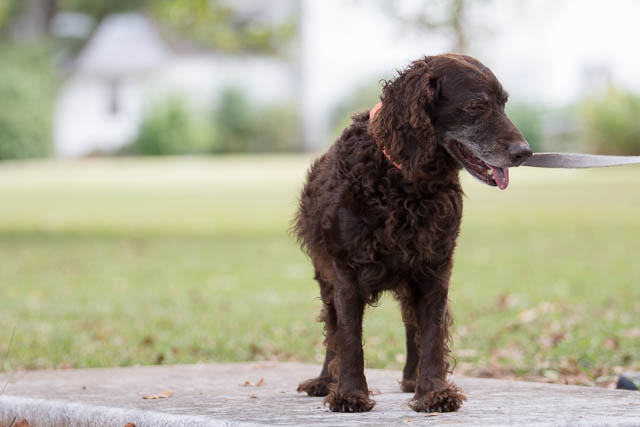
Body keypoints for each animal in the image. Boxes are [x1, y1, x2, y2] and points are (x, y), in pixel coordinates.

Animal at [294, 54, 528, 414]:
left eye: (504, 104)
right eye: (476, 106)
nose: (524, 152)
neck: (404, 180)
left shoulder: (434, 268)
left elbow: (430, 334)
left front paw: (433, 392)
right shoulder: (346, 271)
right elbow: (348, 338)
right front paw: (349, 393)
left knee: (411, 326)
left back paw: (411, 379)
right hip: (325, 276)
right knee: (332, 327)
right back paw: (325, 380)